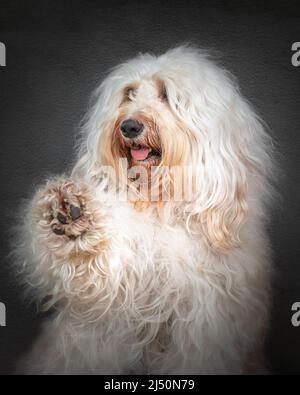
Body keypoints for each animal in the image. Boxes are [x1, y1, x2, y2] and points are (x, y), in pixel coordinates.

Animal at [15, 45, 276, 374]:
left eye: (166, 94)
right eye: (128, 94)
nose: (129, 126)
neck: (159, 201)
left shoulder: (205, 319)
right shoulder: (115, 285)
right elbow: (92, 270)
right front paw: (69, 215)